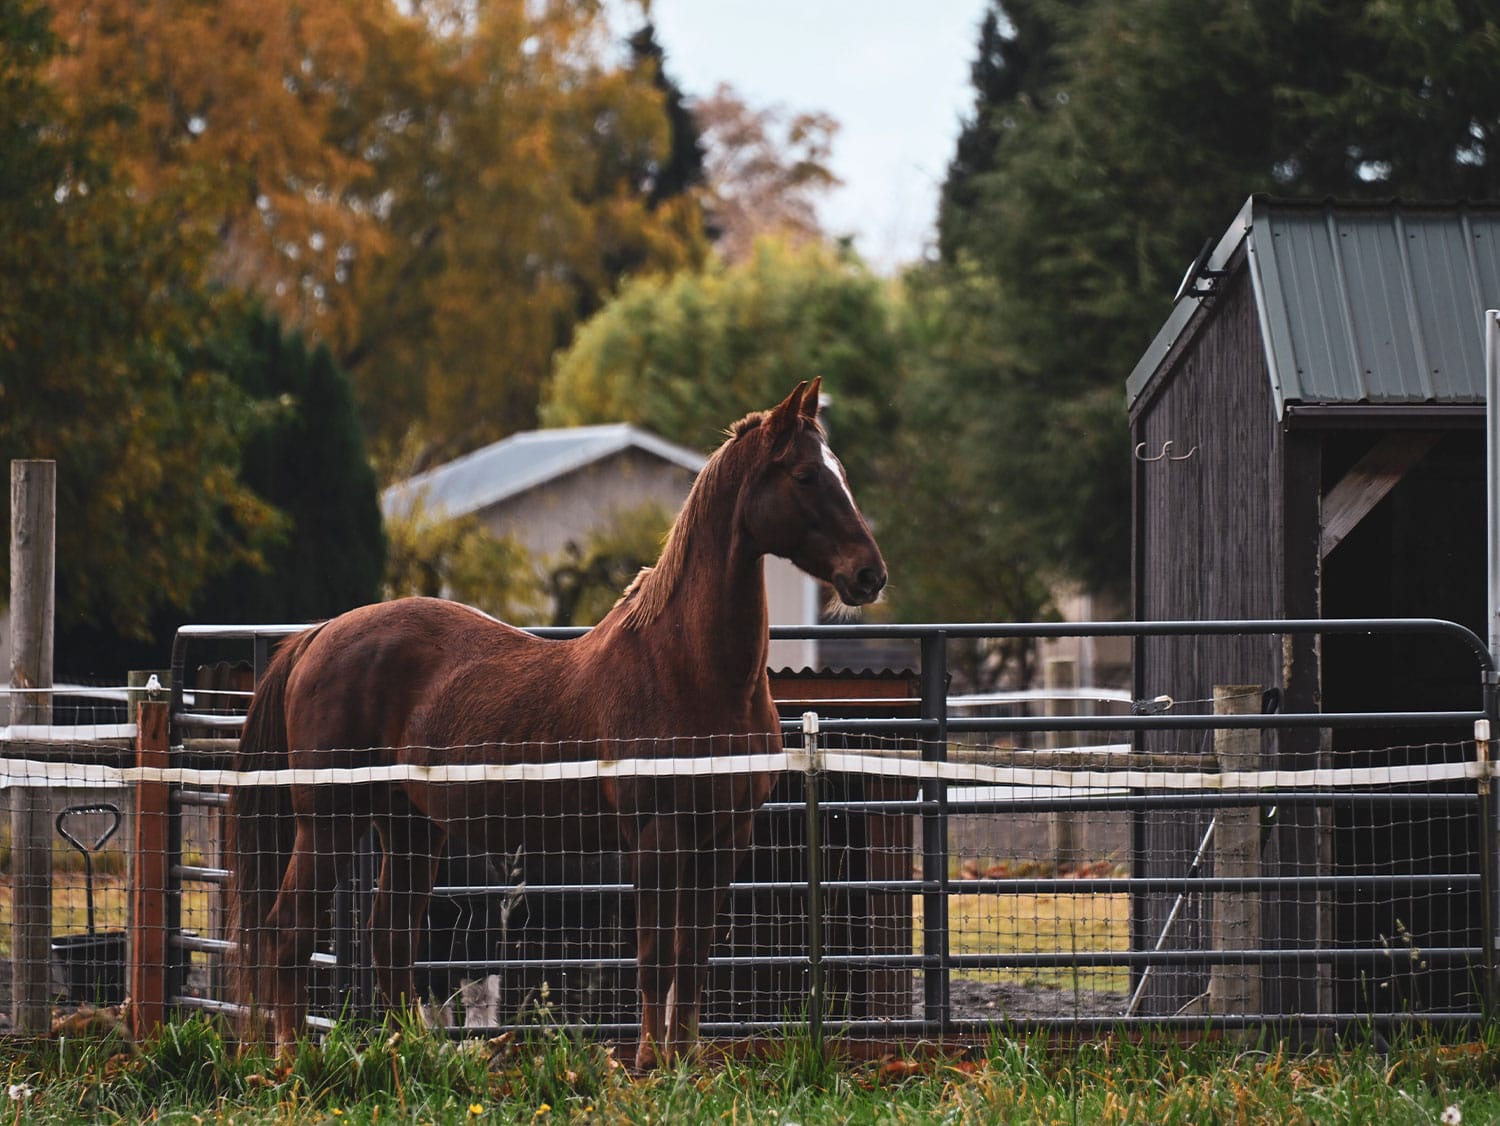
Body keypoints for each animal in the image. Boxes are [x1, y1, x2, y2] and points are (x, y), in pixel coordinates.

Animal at [225, 379, 886, 1068]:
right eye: (806, 475)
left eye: (839, 472)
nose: (869, 574)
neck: (692, 671)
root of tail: (319, 634)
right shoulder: (658, 836)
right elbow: (656, 956)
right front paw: (649, 1064)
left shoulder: (724, 837)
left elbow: (693, 956)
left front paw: (686, 1061)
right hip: (327, 823)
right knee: (288, 931)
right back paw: (292, 1060)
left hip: (409, 826)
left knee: (390, 938)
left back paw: (413, 1052)